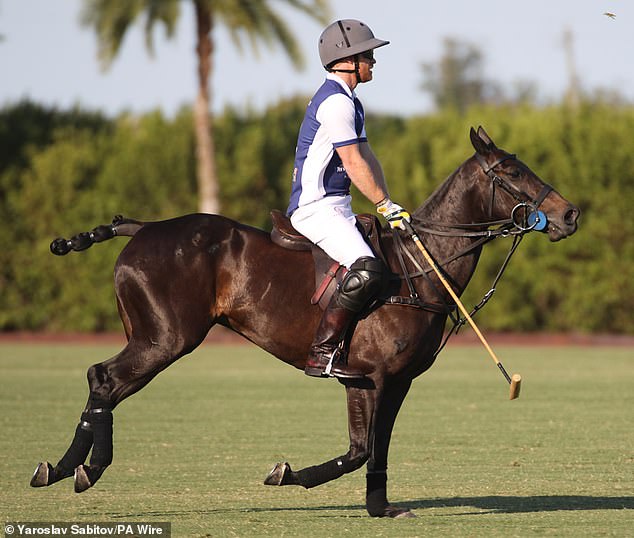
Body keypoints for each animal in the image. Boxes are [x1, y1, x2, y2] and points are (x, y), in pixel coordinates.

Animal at [30, 126, 576, 516]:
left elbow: (369, 449)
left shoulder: (380, 380)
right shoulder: (376, 377)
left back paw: (59, 468)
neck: (417, 268)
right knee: (104, 377)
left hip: (153, 336)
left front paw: (370, 504)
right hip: (164, 337)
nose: (570, 215)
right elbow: (364, 450)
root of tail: (143, 228)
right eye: (512, 171)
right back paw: (85, 469)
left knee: (100, 380)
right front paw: (296, 477)